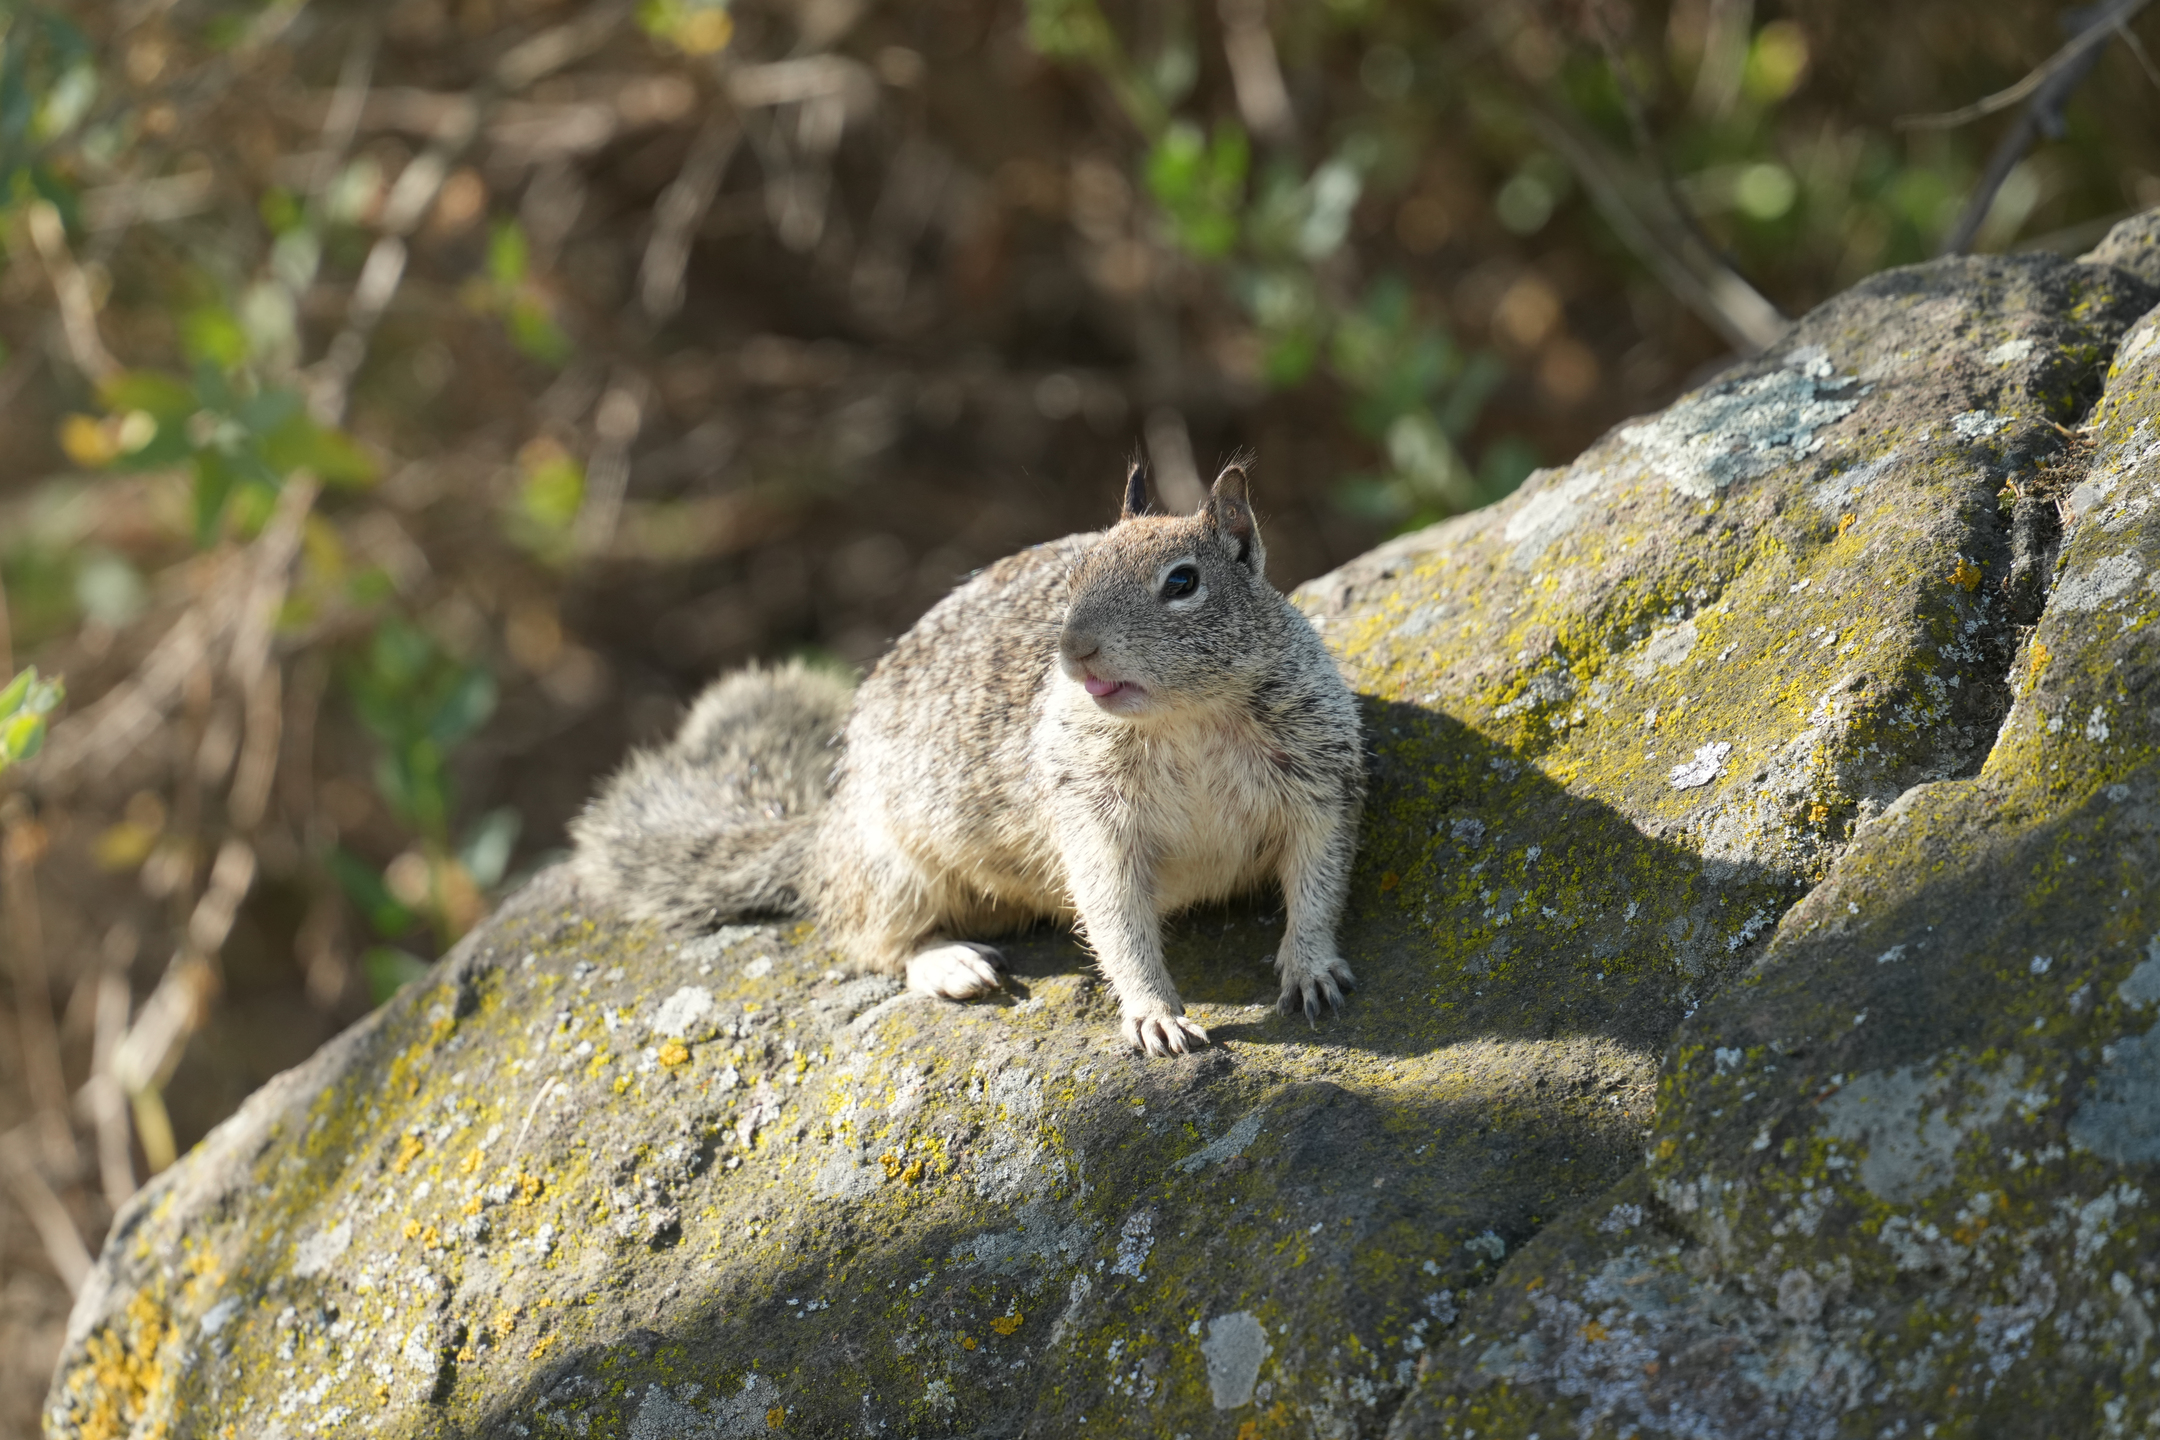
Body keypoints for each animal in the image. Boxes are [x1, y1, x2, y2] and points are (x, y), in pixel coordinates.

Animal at [570, 460, 1364, 1055]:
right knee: (870, 940)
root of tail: (823, 830)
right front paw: (1153, 1013)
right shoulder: (1090, 821)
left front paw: (1310, 965)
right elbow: (1115, 921)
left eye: (1182, 582)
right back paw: (949, 963)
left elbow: (1319, 879)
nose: (1073, 648)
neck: (1182, 723)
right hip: (891, 870)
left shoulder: (1321, 781)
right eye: (1073, 572)